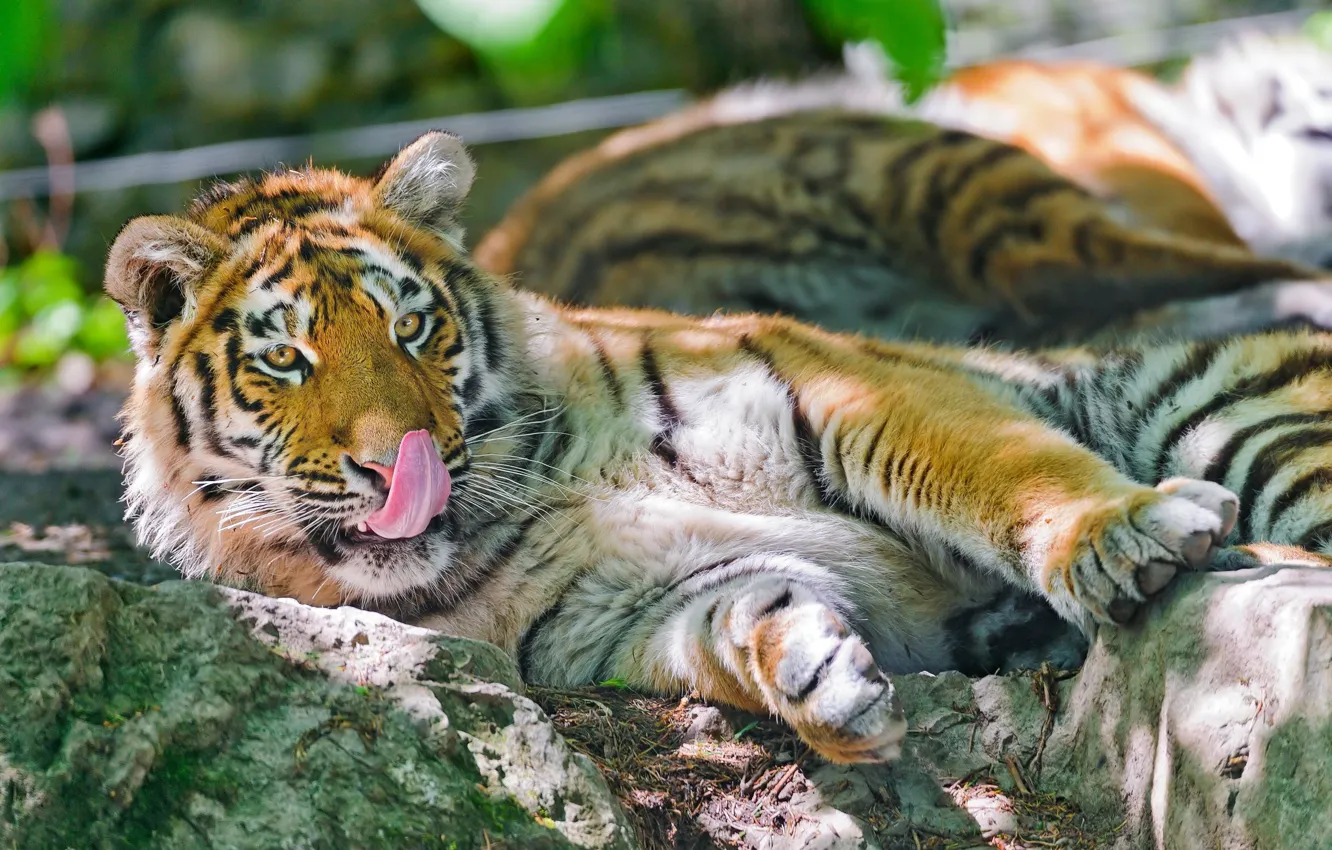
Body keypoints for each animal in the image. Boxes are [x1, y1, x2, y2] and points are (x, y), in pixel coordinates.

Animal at [107, 130, 1332, 765]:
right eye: (287, 358)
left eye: (412, 329)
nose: (395, 463)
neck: (531, 489)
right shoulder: (625, 610)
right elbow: (740, 616)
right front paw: (818, 679)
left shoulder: (849, 393)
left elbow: (1004, 469)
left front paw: (1121, 530)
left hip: (1222, 406)